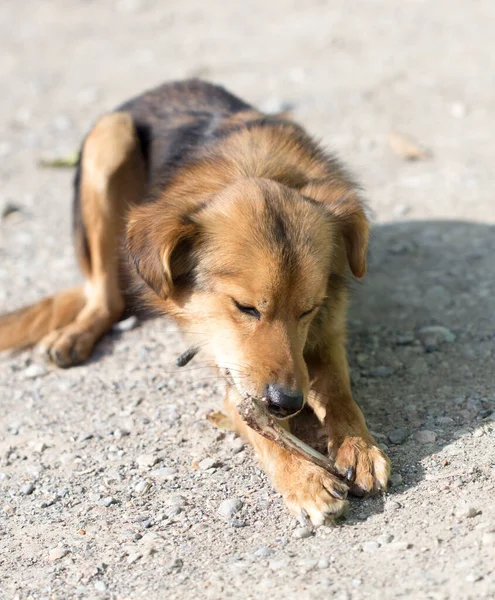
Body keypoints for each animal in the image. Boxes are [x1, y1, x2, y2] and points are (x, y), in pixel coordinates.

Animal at [1, 78, 394, 524]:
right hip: (109, 138)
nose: (287, 403)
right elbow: (256, 420)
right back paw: (76, 335)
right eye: (245, 307)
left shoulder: (326, 330)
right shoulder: (231, 365)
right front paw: (303, 475)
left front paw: (358, 446)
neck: (257, 167)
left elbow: (339, 389)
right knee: (105, 297)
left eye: (307, 309)